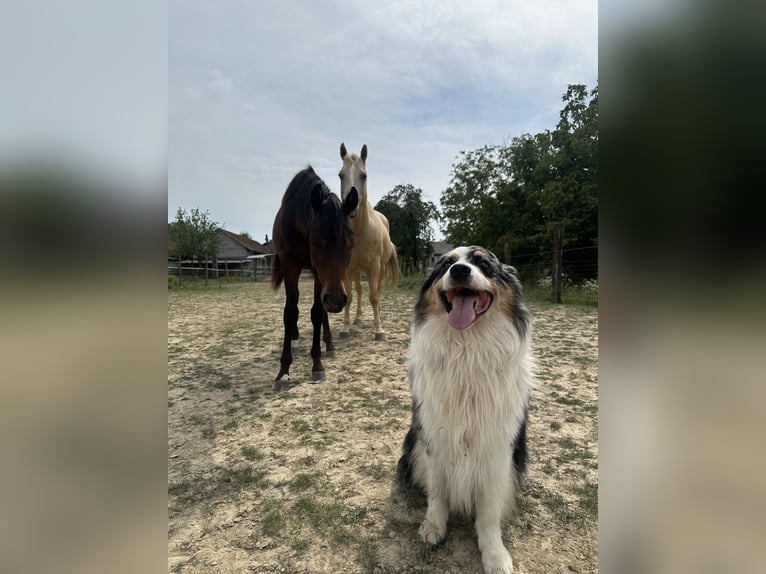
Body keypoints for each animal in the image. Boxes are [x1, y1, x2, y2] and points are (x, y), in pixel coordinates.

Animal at [271, 166, 358, 390]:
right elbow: (290, 312)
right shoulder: (290, 265)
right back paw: (294, 337)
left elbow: (318, 313)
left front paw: (317, 364)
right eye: (317, 242)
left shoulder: (322, 276)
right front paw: (283, 371)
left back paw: (329, 344)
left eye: (350, 244)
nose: (336, 300)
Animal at [338, 143, 400, 341]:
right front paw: (345, 328)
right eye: (341, 174)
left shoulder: (374, 266)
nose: (350, 206)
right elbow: (349, 296)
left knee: (376, 291)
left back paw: (378, 319)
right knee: (358, 291)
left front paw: (379, 330)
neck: (359, 231)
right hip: (356, 271)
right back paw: (357, 318)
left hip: (379, 270)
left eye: (363, 175)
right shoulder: (347, 268)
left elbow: (374, 296)